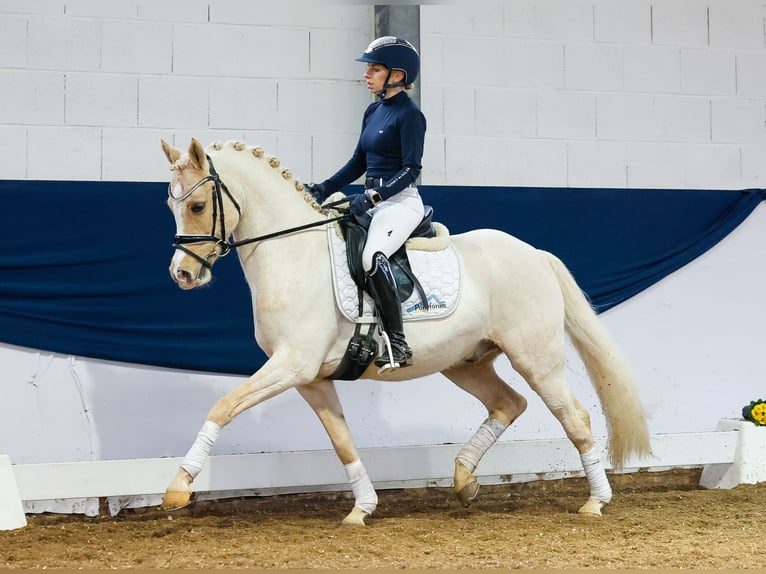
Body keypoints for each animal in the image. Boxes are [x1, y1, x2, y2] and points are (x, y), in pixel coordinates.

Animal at [159, 138, 652, 528]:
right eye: (170, 204)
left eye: (198, 206)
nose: (182, 274)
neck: (293, 253)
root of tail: (534, 254)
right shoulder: (311, 378)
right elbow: (342, 442)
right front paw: (362, 508)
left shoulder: (291, 365)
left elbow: (223, 406)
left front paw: (178, 487)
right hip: (465, 362)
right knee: (509, 403)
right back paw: (464, 480)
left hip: (537, 360)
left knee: (575, 418)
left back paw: (596, 502)